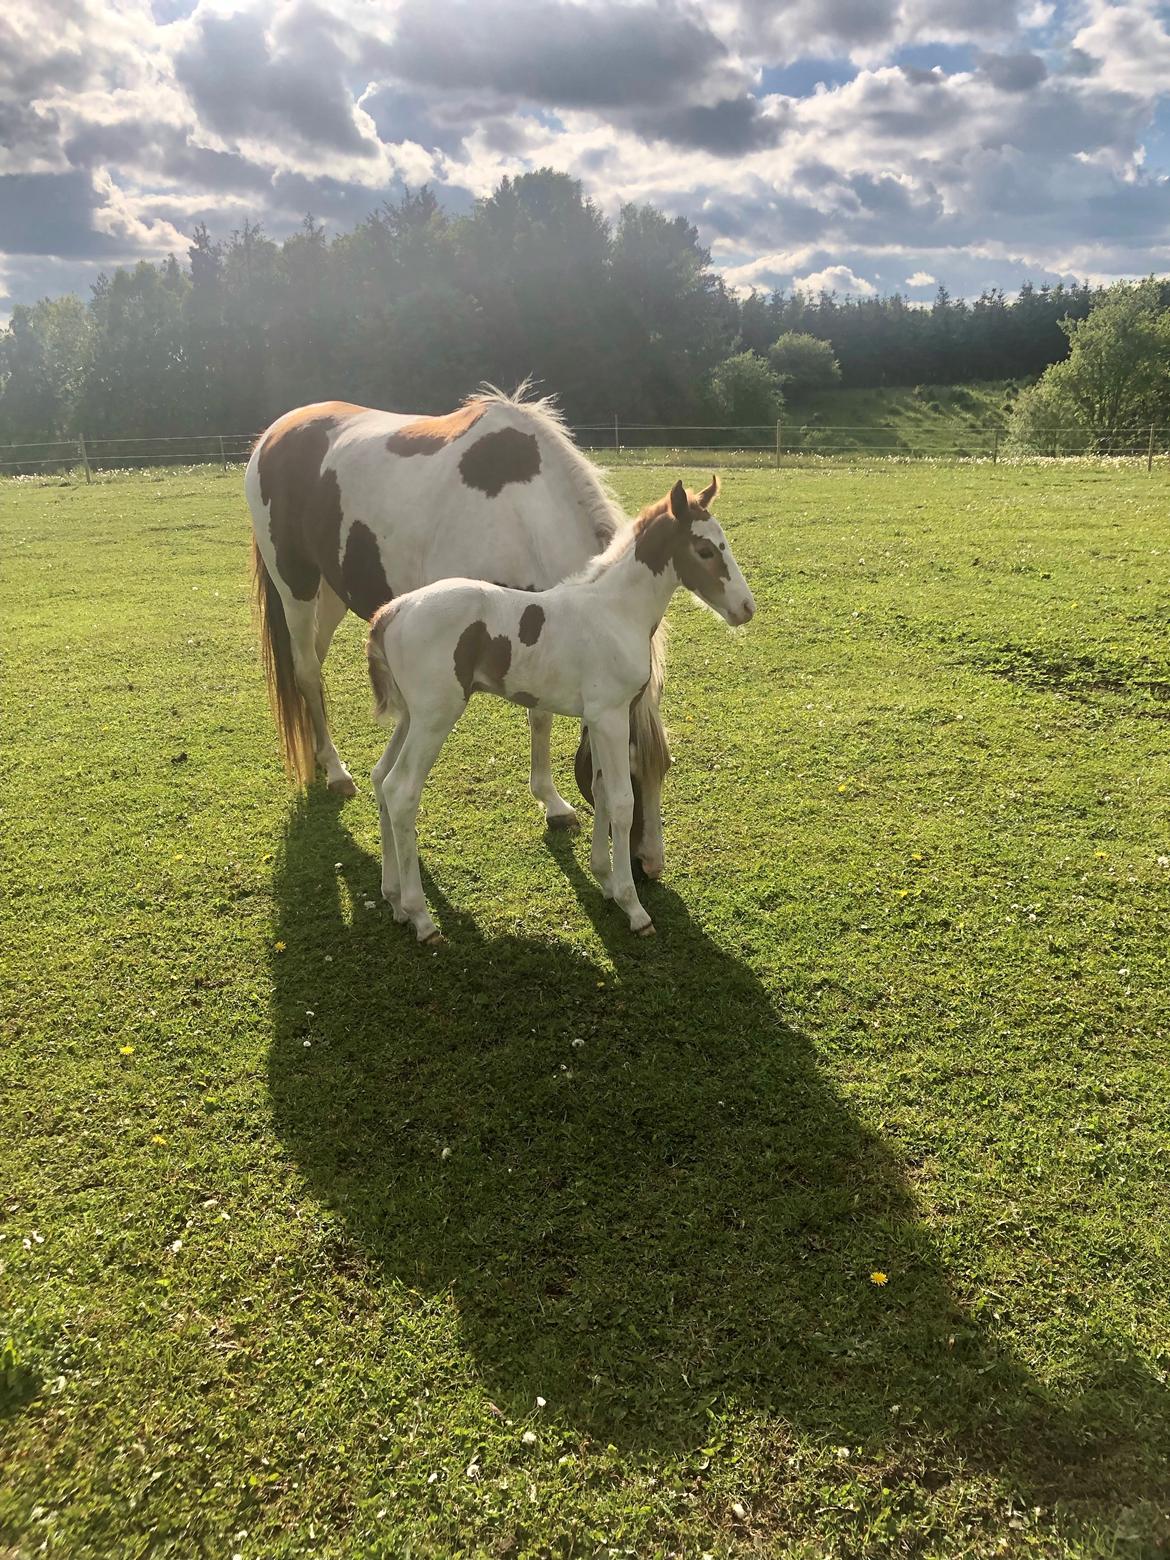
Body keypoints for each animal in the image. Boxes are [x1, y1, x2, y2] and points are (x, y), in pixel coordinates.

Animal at [243, 385, 673, 879]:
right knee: (308, 671)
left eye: (664, 769)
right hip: (295, 584)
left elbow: (540, 714)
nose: (651, 864)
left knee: (310, 664)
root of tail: (274, 433)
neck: (519, 506)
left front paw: (552, 802)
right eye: (630, 769)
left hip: (331, 593)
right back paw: (334, 770)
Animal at [366, 474, 755, 935]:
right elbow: (621, 802)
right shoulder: (611, 717)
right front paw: (634, 907)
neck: (614, 612)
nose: (746, 608)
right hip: (434, 719)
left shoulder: (603, 718)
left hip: (410, 717)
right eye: (705, 550)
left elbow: (601, 790)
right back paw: (422, 918)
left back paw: (394, 901)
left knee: (380, 778)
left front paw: (606, 881)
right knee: (401, 790)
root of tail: (391, 612)